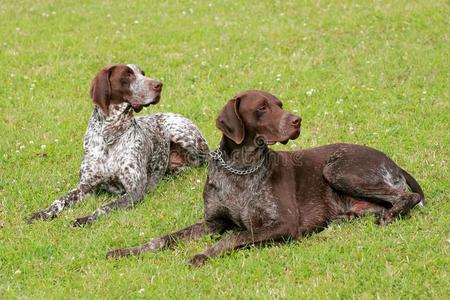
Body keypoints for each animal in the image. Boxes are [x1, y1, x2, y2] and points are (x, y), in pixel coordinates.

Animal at [29, 63, 208, 227]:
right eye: (127, 75)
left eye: (143, 73)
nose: (159, 85)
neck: (111, 135)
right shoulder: (85, 188)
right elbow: (60, 200)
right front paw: (43, 213)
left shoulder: (134, 191)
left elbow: (103, 208)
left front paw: (84, 219)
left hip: (182, 135)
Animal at [107, 89, 424, 264]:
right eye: (262, 108)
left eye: (280, 104)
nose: (297, 120)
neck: (241, 168)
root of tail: (391, 161)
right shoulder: (213, 222)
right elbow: (163, 239)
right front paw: (127, 251)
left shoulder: (284, 224)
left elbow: (234, 238)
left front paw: (203, 255)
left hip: (337, 169)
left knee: (407, 196)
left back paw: (391, 214)